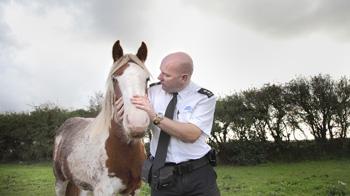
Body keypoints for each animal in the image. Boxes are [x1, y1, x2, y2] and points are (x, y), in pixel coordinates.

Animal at [53, 40, 150, 195]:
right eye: (114, 78)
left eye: (147, 79)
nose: (137, 124)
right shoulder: (104, 190)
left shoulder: (135, 189)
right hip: (60, 182)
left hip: (84, 187)